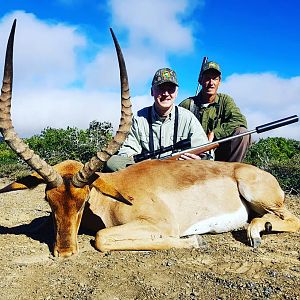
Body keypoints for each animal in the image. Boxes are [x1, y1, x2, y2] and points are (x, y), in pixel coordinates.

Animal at [0, 20, 300, 258]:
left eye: (83, 201)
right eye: (48, 202)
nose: (64, 253)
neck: (113, 196)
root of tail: (255, 171)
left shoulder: (163, 224)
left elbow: (101, 238)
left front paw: (195, 241)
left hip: (259, 196)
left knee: (291, 219)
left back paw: (256, 232)